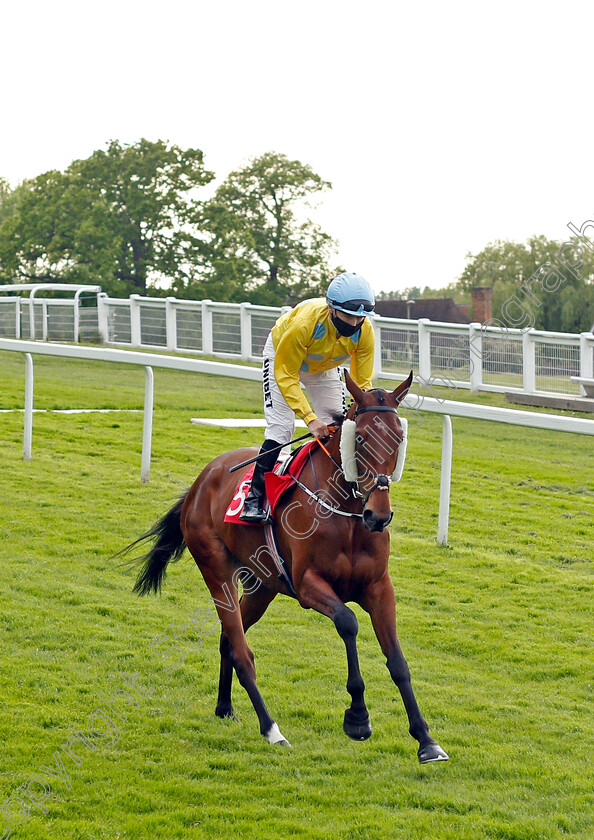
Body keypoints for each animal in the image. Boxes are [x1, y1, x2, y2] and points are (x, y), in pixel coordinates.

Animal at [126, 372, 448, 760]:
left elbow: (398, 662)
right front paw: (358, 717)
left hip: (262, 587)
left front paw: (426, 739)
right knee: (242, 651)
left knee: (228, 640)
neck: (347, 516)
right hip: (216, 570)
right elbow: (348, 622)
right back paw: (271, 729)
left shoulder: (379, 588)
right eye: (360, 437)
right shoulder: (308, 584)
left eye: (399, 437)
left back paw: (225, 707)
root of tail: (201, 481)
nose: (378, 515)